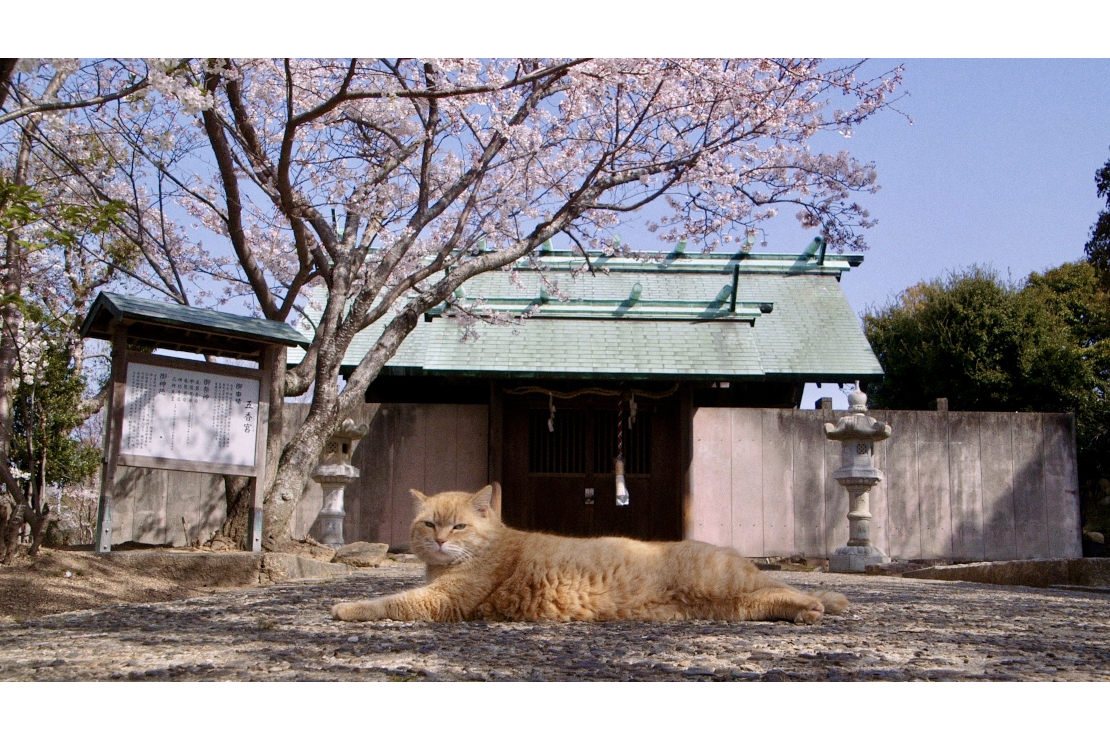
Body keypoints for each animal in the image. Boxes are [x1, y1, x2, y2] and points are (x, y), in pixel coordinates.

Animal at [330, 485, 848, 625]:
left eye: (457, 525)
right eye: (428, 524)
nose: (439, 540)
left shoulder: (442, 601)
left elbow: (389, 602)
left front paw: (344, 607)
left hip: (727, 584)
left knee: (786, 585)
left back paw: (822, 604)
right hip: (734, 606)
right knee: (777, 593)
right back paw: (820, 607)